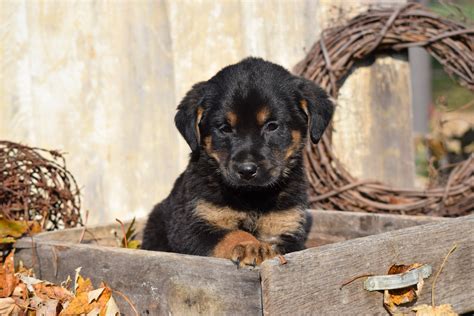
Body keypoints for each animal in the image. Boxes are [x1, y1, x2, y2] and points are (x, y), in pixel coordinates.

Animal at [141, 57, 334, 266]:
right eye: (225, 128)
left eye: (272, 126)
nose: (247, 170)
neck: (251, 197)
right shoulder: (190, 226)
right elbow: (231, 233)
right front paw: (251, 246)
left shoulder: (285, 227)